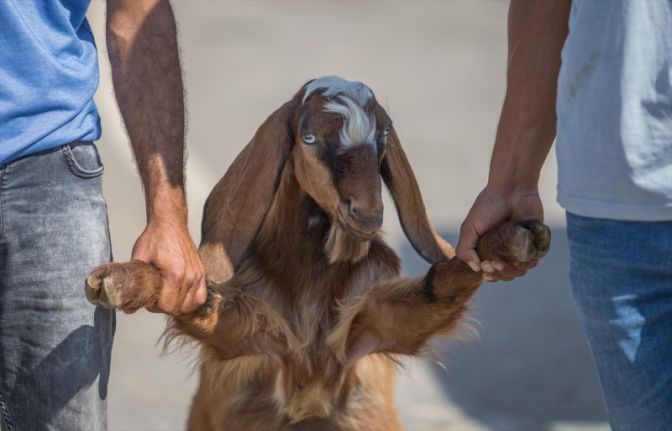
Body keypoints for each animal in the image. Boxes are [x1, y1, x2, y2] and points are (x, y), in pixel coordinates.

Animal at [85, 76, 552, 430]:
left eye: (382, 136)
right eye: (309, 138)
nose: (367, 211)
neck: (312, 287)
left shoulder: (370, 332)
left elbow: (442, 286)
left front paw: (512, 239)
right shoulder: (253, 342)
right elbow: (201, 301)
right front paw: (122, 279)